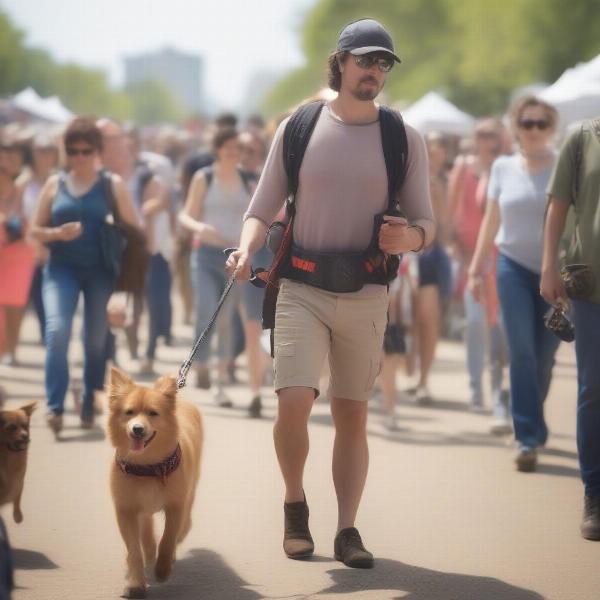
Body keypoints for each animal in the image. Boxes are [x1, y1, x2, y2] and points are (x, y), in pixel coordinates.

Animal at [108, 368, 202, 596]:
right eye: (129, 412)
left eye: (153, 413)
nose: (137, 429)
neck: (148, 468)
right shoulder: (126, 509)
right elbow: (134, 548)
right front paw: (135, 584)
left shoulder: (176, 506)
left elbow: (168, 540)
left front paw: (162, 570)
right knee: (146, 529)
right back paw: (149, 553)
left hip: (191, 489)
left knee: (183, 524)